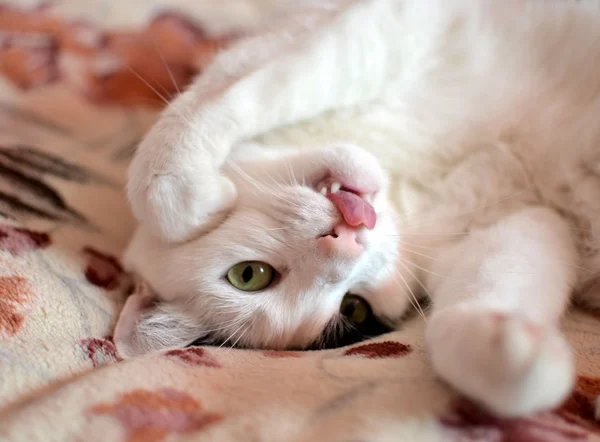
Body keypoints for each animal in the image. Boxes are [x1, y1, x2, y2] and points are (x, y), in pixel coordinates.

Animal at [115, 0, 600, 420]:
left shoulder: (371, 27)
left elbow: (232, 94)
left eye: (247, 275)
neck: (409, 177)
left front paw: (189, 197)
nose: (346, 238)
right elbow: (481, 299)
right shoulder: (513, 220)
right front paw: (515, 354)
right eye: (354, 308)